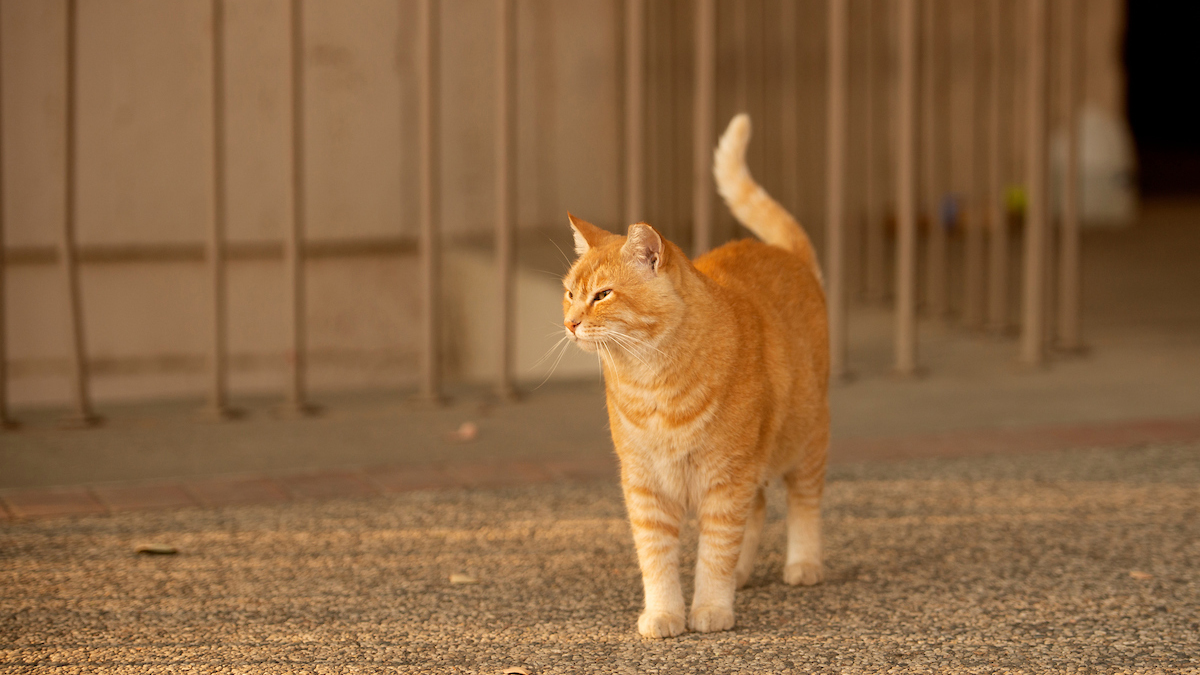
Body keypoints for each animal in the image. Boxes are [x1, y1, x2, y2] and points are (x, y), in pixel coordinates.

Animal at [559, 111, 825, 634]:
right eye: (570, 293)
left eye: (603, 295)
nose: (571, 322)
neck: (652, 383)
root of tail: (784, 252)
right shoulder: (645, 486)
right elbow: (657, 558)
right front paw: (665, 613)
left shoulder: (727, 477)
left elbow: (715, 552)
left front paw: (711, 608)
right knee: (758, 509)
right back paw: (744, 573)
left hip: (804, 441)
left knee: (802, 502)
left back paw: (803, 564)